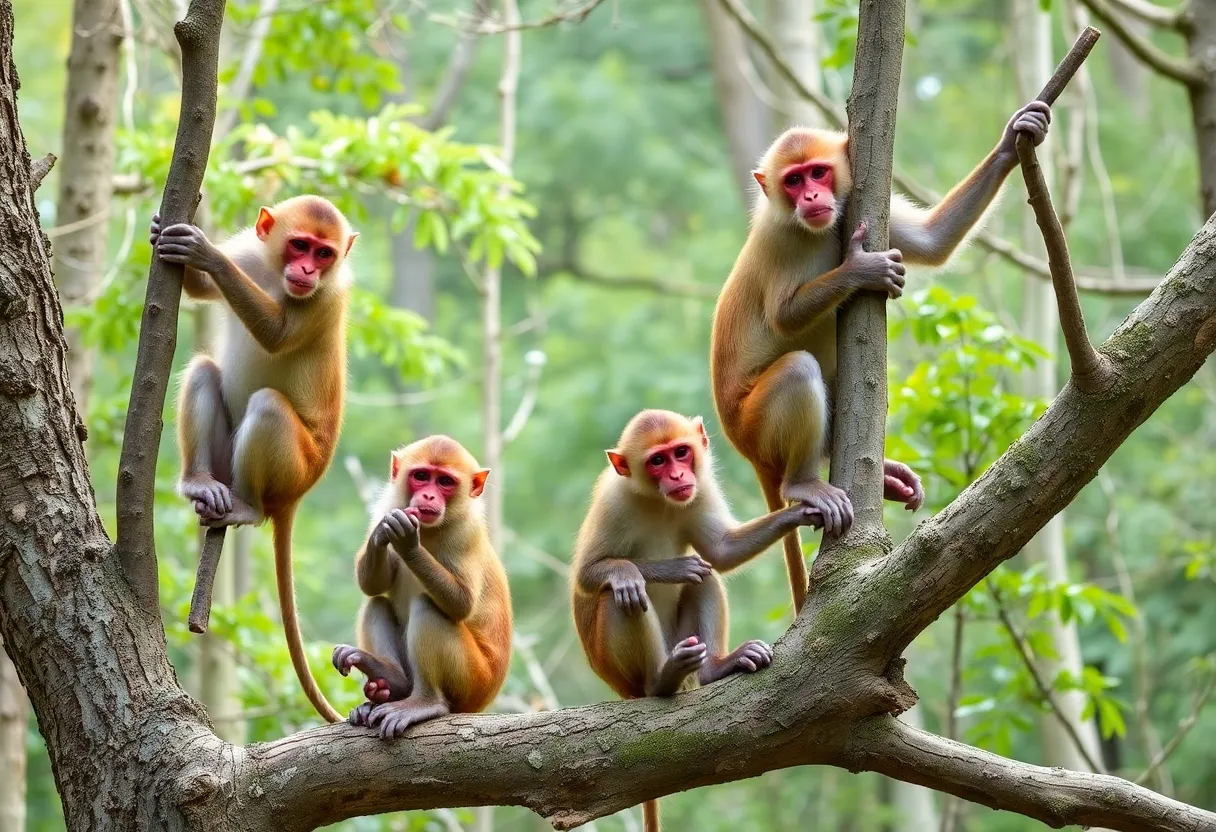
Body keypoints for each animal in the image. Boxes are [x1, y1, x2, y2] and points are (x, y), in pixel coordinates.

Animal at [150, 194, 357, 720]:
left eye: (324, 254)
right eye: (300, 245)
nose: (306, 270)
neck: (275, 275)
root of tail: (295, 498)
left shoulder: (327, 298)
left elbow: (279, 333)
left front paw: (206, 254)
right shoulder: (251, 251)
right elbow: (202, 289)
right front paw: (165, 234)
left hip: (293, 468)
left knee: (267, 405)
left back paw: (247, 508)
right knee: (204, 370)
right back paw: (200, 482)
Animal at [330, 437, 510, 739]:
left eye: (445, 482)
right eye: (422, 476)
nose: (428, 497)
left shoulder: (467, 532)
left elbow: (462, 604)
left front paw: (408, 544)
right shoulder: (386, 506)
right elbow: (373, 585)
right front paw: (382, 533)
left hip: (473, 682)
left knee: (428, 606)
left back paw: (426, 703)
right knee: (376, 602)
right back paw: (390, 678)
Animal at [569, 411, 817, 832]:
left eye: (681, 453)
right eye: (657, 461)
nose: (677, 476)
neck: (657, 500)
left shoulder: (700, 489)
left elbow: (720, 553)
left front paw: (803, 507)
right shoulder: (612, 501)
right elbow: (588, 577)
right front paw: (665, 569)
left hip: (682, 639)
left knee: (706, 580)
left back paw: (715, 667)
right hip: (624, 666)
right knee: (621, 596)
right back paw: (661, 680)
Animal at [710, 102, 1050, 610]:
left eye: (818, 172)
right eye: (793, 180)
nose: (812, 195)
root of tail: (744, 448)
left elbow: (932, 241)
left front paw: (1014, 139)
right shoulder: (781, 238)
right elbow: (784, 318)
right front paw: (860, 268)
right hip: (755, 425)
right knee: (798, 369)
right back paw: (802, 484)